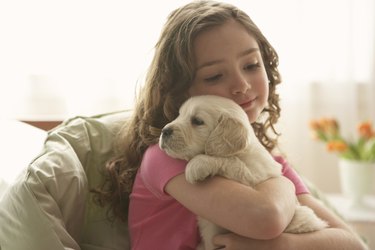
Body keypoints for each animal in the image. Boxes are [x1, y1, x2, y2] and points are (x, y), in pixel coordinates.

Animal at [159, 94, 328, 249]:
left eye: (197, 121)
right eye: (179, 115)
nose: (164, 131)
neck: (243, 151)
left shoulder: (253, 178)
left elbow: (232, 162)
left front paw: (198, 164)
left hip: (303, 217)